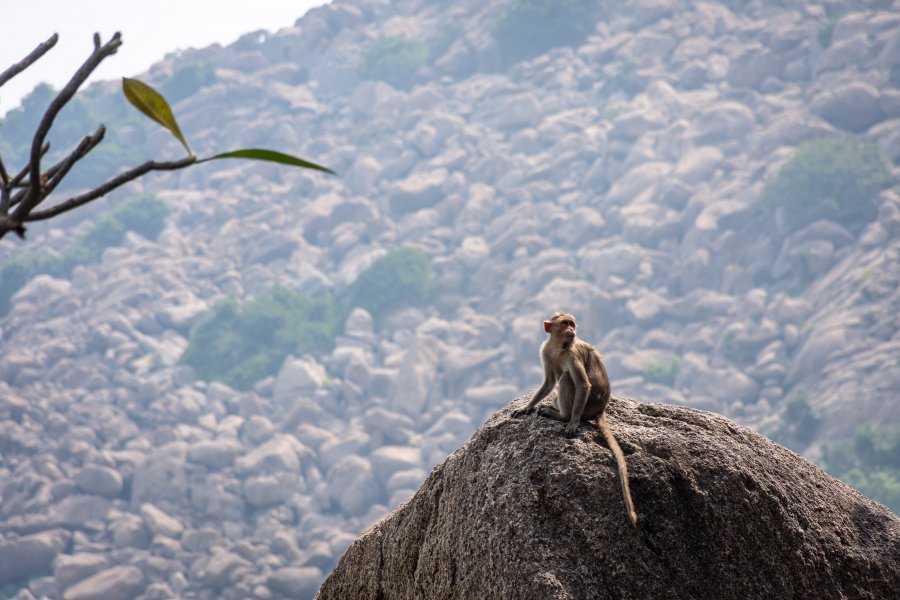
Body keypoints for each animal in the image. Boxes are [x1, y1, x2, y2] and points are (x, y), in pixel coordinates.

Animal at [512, 312, 640, 528]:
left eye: (571, 324)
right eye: (565, 324)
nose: (572, 329)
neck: (560, 345)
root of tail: (600, 410)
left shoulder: (573, 353)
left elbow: (582, 384)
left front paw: (572, 423)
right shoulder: (545, 350)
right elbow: (549, 382)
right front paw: (527, 407)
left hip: (586, 406)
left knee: (566, 378)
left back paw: (562, 415)